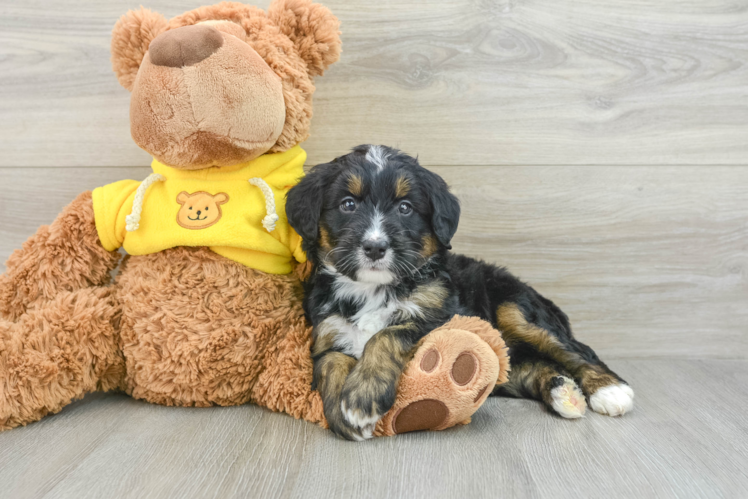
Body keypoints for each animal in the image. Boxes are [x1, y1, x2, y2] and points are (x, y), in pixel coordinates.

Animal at [284, 146, 632, 442]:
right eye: (348, 204)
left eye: (405, 208)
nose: (374, 247)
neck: (372, 289)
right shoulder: (327, 332)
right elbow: (330, 364)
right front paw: (344, 413)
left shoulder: (439, 317)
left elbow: (386, 335)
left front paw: (362, 397)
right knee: (533, 367)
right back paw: (563, 392)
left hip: (517, 311)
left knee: (575, 350)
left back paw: (610, 390)